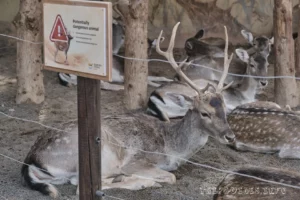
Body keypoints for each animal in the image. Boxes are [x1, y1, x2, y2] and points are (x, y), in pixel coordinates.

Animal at [21, 22, 237, 198]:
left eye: (224, 109)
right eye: (205, 113)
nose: (230, 136)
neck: (174, 148)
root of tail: (31, 160)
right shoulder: (139, 160)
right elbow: (171, 177)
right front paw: (147, 180)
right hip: (100, 153)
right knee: (81, 186)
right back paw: (139, 182)